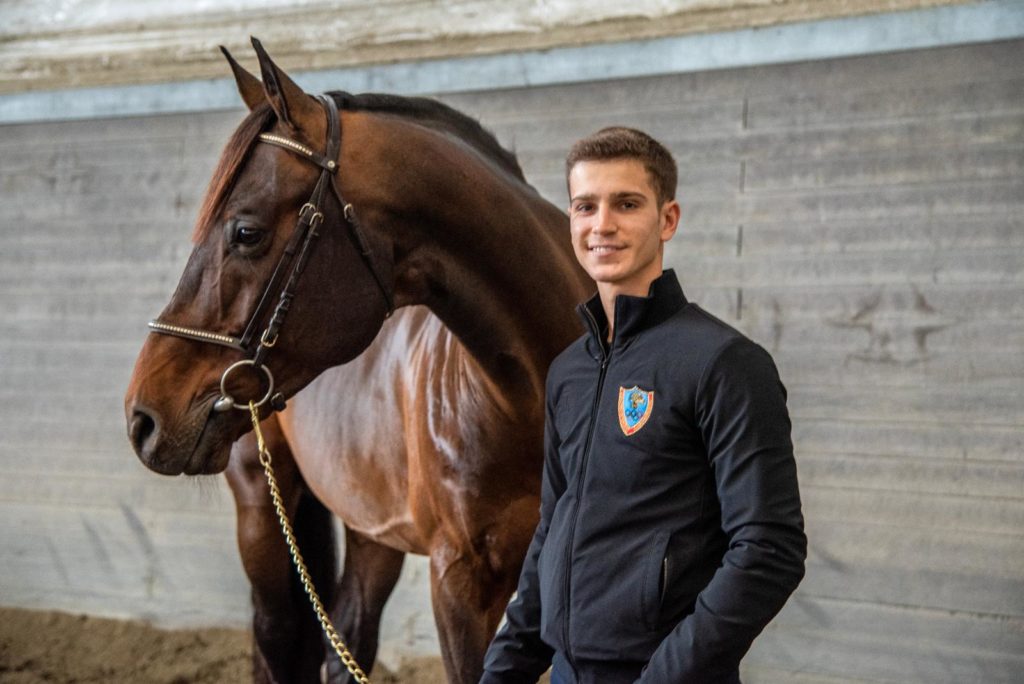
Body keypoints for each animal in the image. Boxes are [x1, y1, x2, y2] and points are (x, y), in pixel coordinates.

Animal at [124, 38, 592, 683]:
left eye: (245, 232)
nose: (142, 417)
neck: (527, 399)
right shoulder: (460, 583)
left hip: (371, 527)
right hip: (261, 502)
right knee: (275, 633)